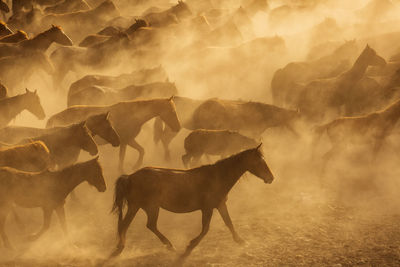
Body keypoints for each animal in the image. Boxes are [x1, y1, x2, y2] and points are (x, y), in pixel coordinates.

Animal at [45, 98, 180, 172]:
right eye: (172, 111)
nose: (178, 127)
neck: (133, 114)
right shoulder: (125, 141)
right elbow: (122, 157)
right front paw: (123, 170)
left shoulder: (128, 140)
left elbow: (141, 150)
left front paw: (135, 166)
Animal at [109, 146, 272, 260]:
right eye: (260, 161)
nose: (271, 178)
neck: (217, 176)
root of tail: (130, 177)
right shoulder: (207, 208)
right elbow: (205, 229)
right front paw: (190, 245)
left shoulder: (220, 205)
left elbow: (229, 223)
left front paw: (241, 241)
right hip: (148, 207)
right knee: (145, 225)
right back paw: (168, 246)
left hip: (138, 207)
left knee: (129, 225)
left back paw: (121, 247)